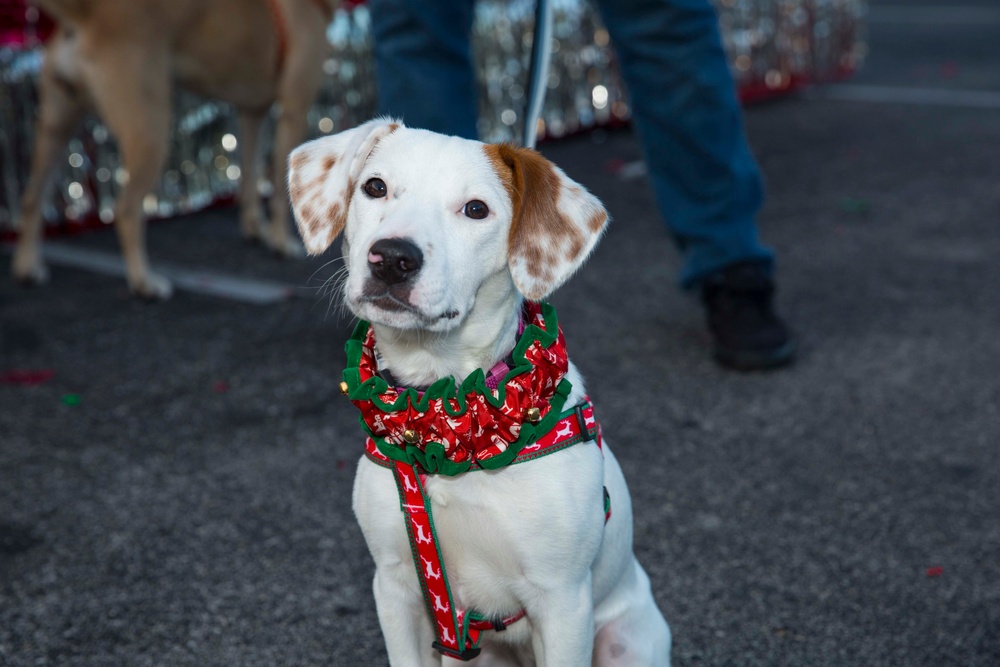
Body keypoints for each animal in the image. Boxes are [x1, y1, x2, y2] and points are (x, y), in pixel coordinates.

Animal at [9, 0, 336, 298]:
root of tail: (86, 14)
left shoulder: (253, 113)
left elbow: (249, 174)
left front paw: (256, 229)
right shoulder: (294, 110)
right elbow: (280, 188)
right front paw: (281, 241)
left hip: (56, 127)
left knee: (32, 196)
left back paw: (27, 267)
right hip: (150, 130)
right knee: (125, 210)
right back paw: (144, 282)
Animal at [290, 117, 672, 664]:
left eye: (476, 209)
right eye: (375, 187)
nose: (392, 258)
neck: (444, 410)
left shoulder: (563, 602)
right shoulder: (397, 589)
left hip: (626, 639)